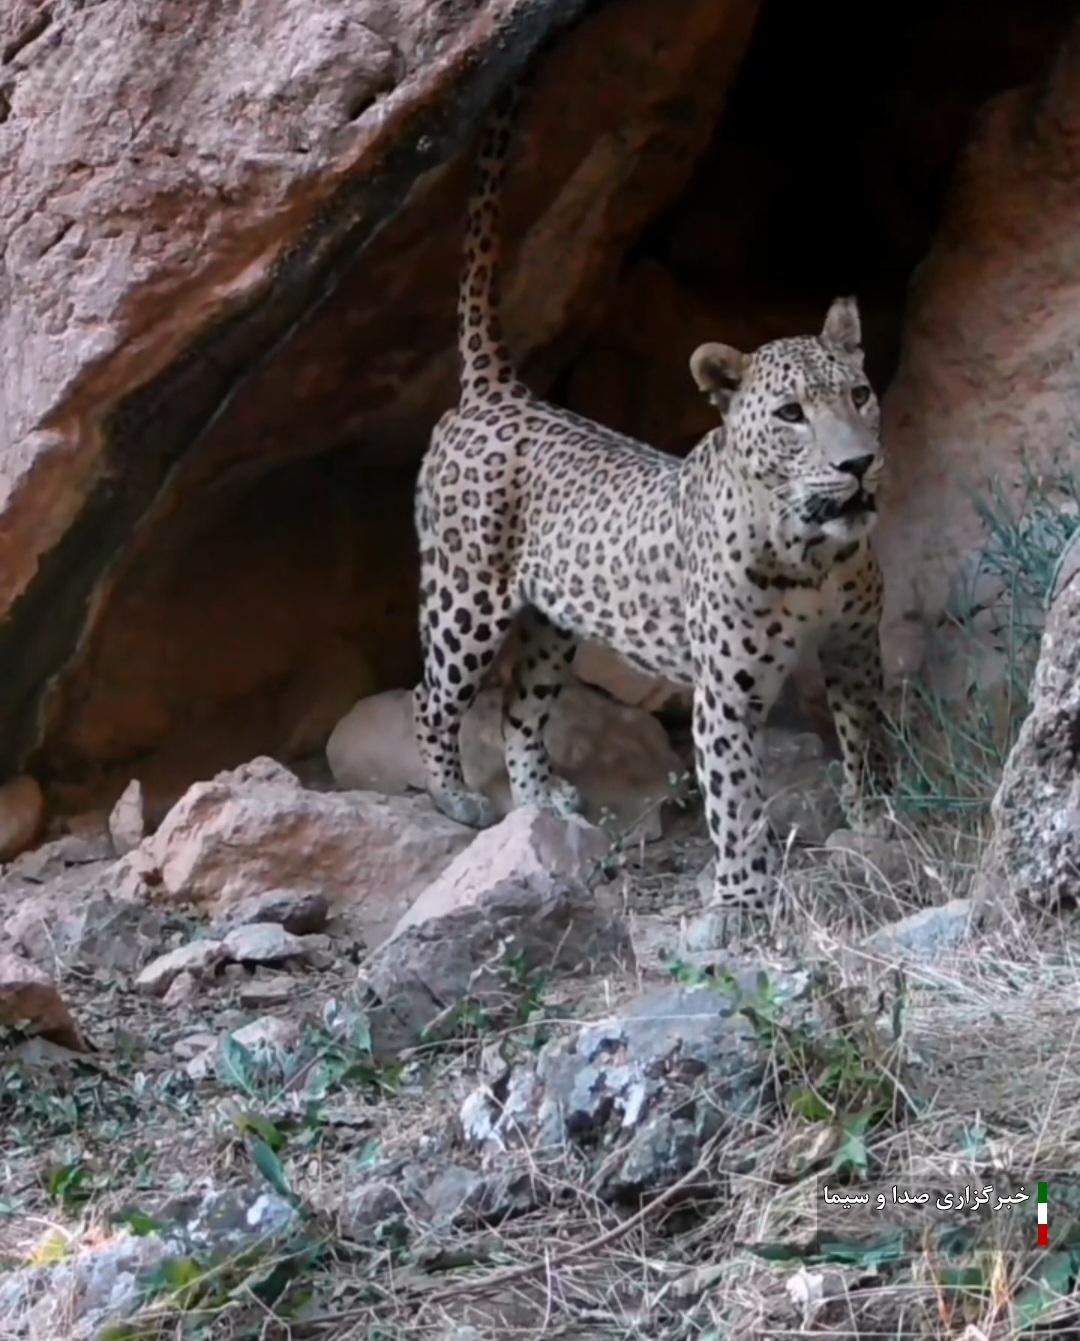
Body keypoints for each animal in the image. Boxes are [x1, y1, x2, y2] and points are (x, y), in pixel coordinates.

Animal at [407, 91, 890, 933]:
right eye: (792, 414)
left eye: (859, 394)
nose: (856, 464)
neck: (814, 553)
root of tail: (499, 390)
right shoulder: (726, 694)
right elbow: (735, 801)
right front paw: (742, 902)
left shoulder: (856, 651)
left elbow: (862, 741)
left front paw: (869, 822)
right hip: (465, 599)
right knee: (431, 696)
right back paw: (455, 796)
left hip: (552, 624)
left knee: (518, 711)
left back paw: (543, 807)